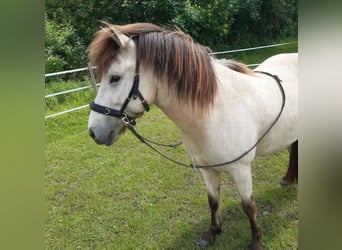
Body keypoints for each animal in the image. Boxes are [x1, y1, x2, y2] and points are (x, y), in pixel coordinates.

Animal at [87, 22, 296, 249]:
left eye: (114, 77)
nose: (93, 131)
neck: (215, 112)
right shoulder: (206, 169)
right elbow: (213, 200)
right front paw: (212, 233)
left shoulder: (241, 169)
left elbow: (249, 206)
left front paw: (256, 241)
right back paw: (288, 178)